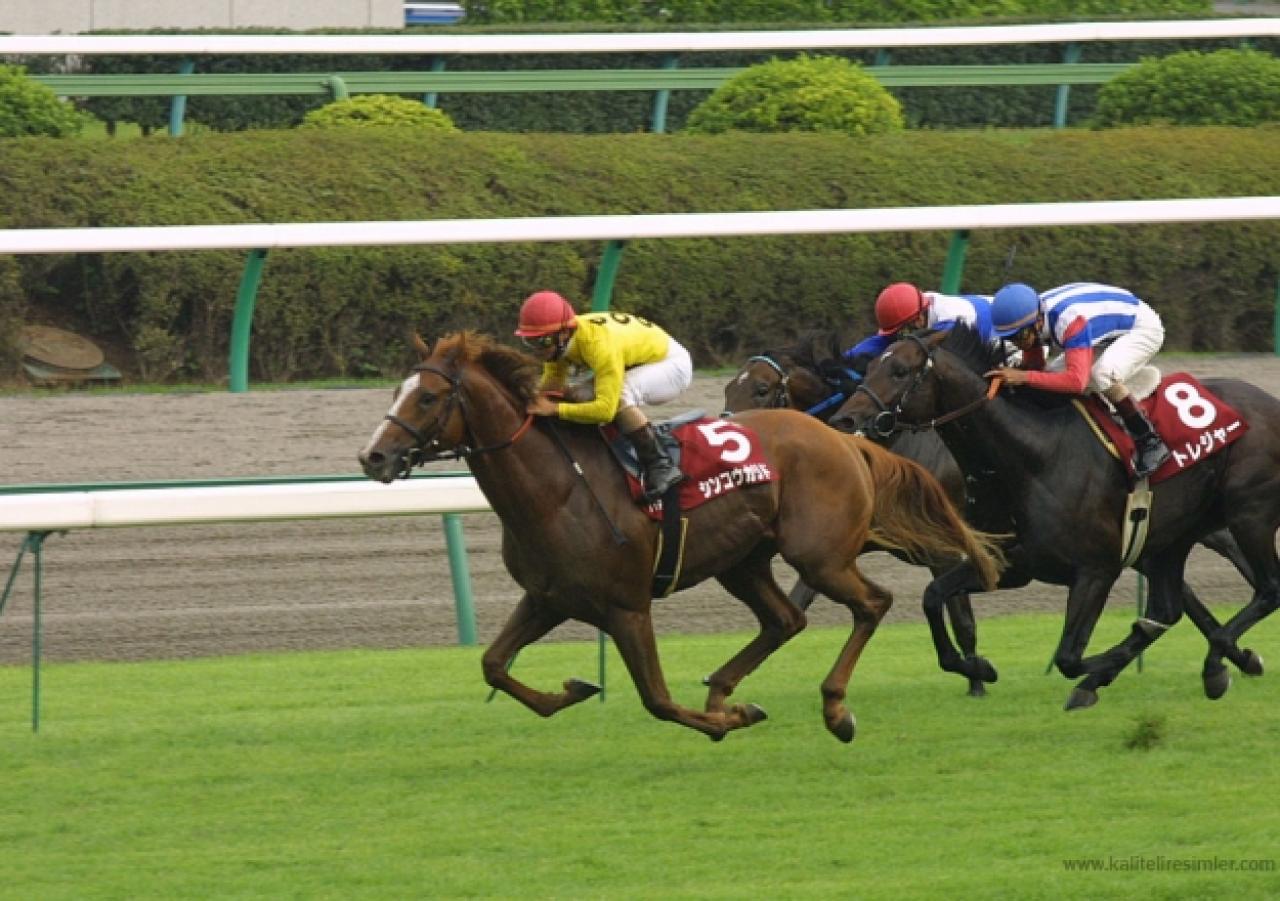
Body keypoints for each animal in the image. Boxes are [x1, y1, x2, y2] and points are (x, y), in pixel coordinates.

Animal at [355, 335, 1003, 742]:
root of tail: (843, 437)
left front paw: (729, 722)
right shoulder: (548, 598)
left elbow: (658, 700)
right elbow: (493, 665)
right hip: (744, 561)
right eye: (396, 393)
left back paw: (835, 709)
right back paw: (722, 688)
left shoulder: (626, 605)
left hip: (819, 556)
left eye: (429, 396)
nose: (373, 457)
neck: (558, 489)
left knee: (873, 603)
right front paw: (575, 687)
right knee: (785, 620)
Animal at [829, 323, 1280, 711]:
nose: (844, 419)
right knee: (1170, 608)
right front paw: (979, 668)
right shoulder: (1009, 563)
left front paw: (1097, 670)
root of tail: (1269, 401)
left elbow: (1069, 657)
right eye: (869, 366)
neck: (1033, 458)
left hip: (1249, 515)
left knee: (1268, 589)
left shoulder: (1096, 570)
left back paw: (1215, 665)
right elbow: (932, 597)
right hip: (1175, 538)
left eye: (900, 370)